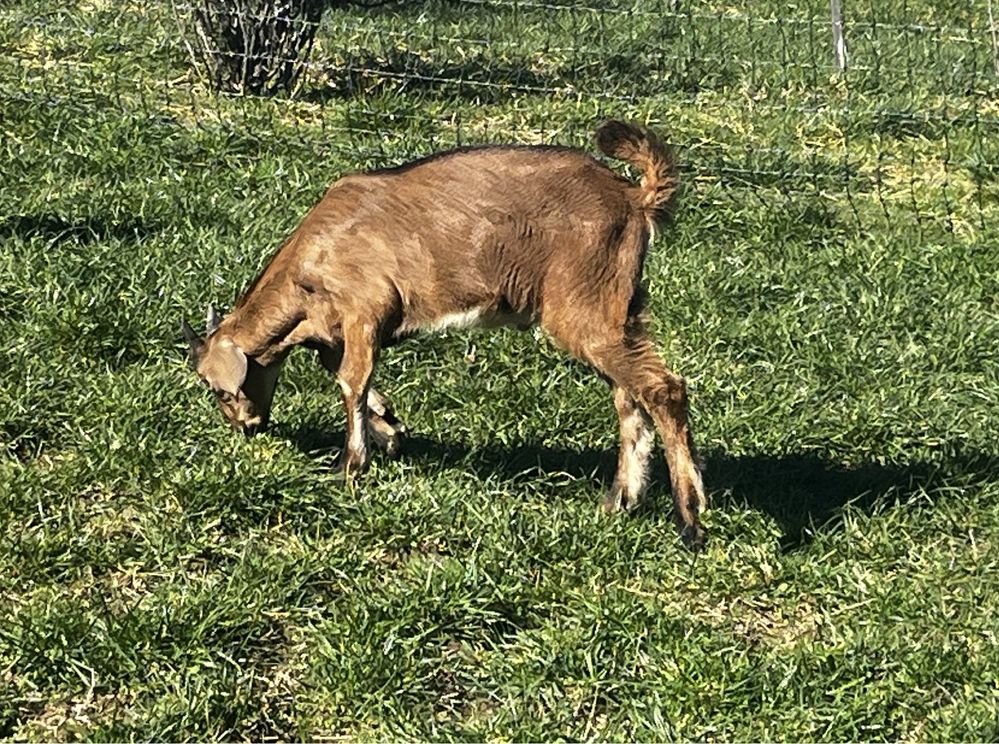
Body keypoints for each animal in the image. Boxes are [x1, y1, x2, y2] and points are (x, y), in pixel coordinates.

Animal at [182, 120, 712, 548]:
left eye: (218, 389)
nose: (246, 426)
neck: (311, 265)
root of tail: (634, 199)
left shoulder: (362, 311)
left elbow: (352, 381)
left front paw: (350, 466)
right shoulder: (336, 331)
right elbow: (358, 383)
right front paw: (390, 432)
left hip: (586, 308)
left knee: (663, 389)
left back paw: (690, 521)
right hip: (621, 309)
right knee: (629, 398)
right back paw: (620, 500)